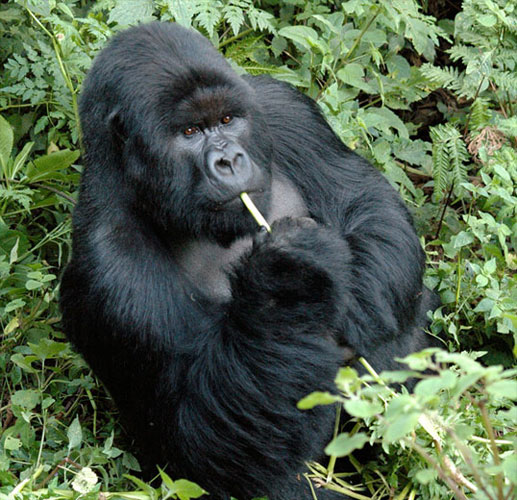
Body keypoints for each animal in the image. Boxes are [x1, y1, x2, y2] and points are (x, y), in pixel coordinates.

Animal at [60, 21, 440, 500]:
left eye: (227, 120)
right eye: (189, 133)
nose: (229, 159)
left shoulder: (283, 107)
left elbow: (368, 203)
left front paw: (352, 308)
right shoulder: (109, 267)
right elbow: (204, 443)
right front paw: (289, 281)